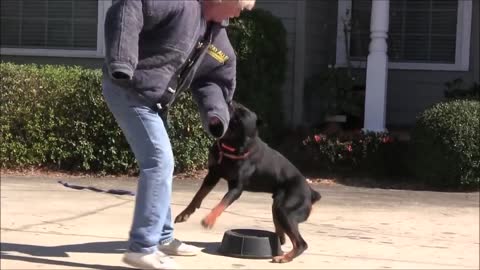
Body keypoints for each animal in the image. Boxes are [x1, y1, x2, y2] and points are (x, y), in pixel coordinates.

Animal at [174, 102, 320, 262]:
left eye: (241, 114)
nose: (230, 102)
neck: (231, 145)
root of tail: (311, 192)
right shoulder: (213, 174)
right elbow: (198, 195)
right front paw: (185, 213)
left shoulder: (236, 188)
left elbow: (221, 204)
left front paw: (209, 219)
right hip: (278, 205)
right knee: (281, 228)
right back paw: (280, 242)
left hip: (287, 209)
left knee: (301, 243)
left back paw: (285, 257)